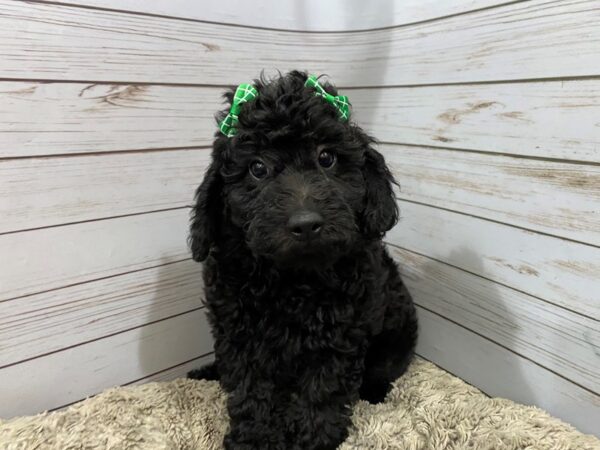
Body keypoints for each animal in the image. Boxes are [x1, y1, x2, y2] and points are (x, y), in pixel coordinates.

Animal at [189, 72, 418, 448]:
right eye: (257, 168)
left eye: (327, 158)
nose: (306, 224)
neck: (292, 278)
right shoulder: (239, 333)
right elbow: (250, 389)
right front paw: (254, 437)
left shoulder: (340, 335)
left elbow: (323, 390)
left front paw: (310, 439)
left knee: (384, 368)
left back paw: (375, 391)